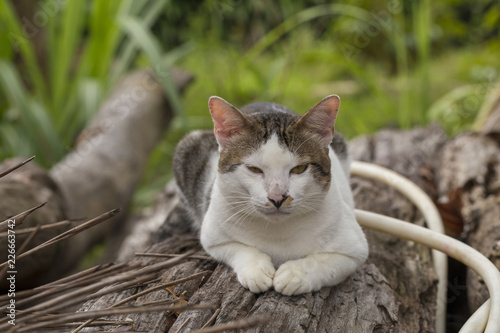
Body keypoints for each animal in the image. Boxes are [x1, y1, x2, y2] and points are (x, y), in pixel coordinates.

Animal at [172, 94, 368, 294]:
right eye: (254, 169)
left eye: (299, 169)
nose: (277, 197)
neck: (277, 232)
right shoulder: (213, 235)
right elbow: (238, 248)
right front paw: (256, 270)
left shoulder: (354, 248)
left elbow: (324, 260)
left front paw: (295, 274)